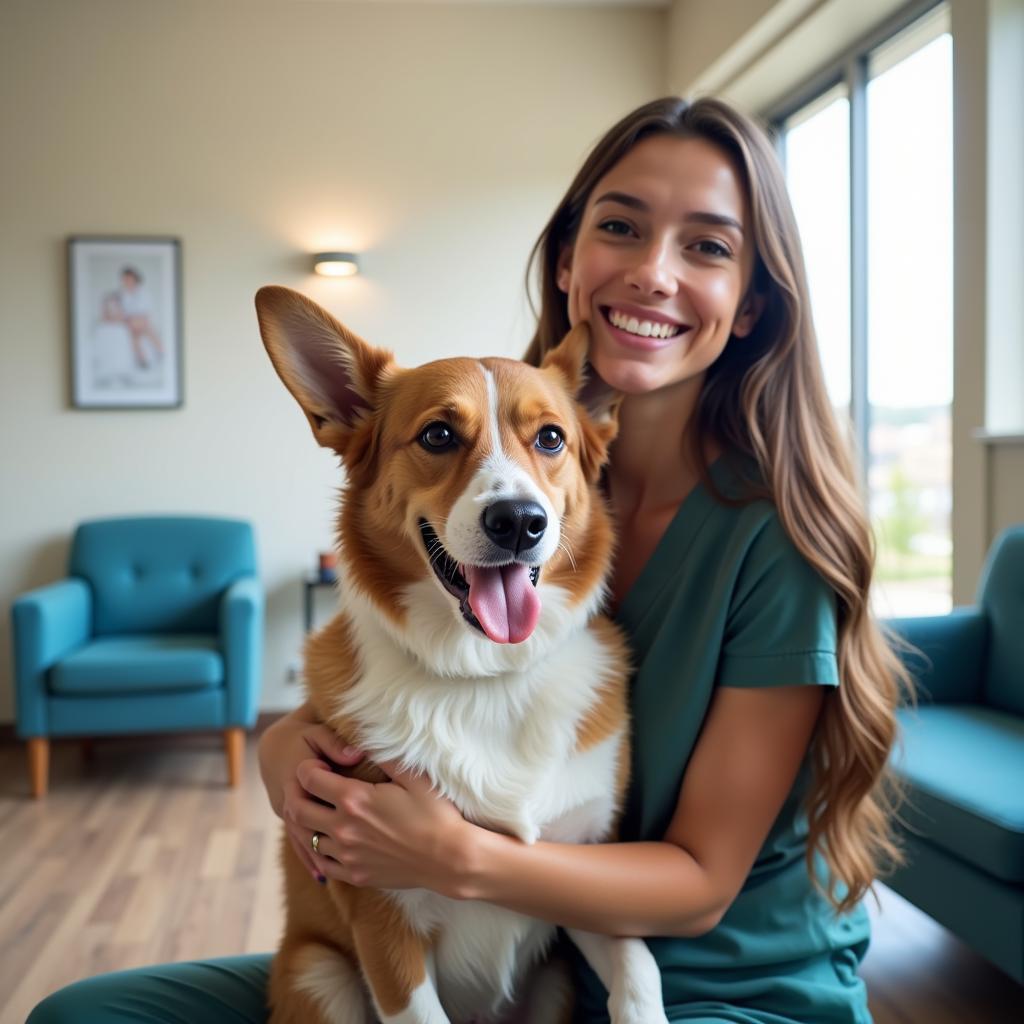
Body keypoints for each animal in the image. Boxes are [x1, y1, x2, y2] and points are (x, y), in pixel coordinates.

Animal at [256, 286, 667, 1024]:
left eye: (551, 438)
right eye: (438, 436)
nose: (520, 523)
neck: (484, 675)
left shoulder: (587, 869)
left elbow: (639, 968)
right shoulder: (383, 925)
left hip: (553, 987)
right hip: (317, 974)